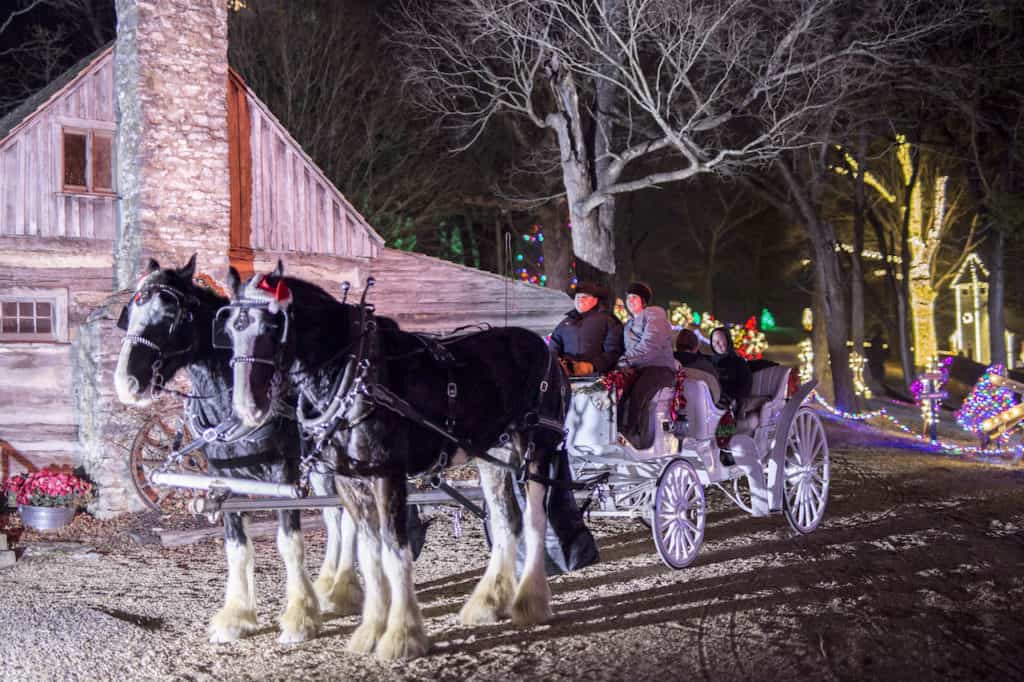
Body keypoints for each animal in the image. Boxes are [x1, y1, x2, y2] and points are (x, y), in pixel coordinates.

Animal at [111, 254, 360, 643]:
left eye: (170, 314)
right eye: (130, 312)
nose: (127, 382)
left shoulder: (285, 477)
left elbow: (290, 543)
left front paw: (300, 617)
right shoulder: (222, 479)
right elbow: (237, 547)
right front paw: (237, 616)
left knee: (347, 517)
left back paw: (343, 589)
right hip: (319, 467)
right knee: (334, 517)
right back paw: (328, 586)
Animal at [223, 261, 569, 659]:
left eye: (272, 325)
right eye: (230, 328)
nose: (247, 407)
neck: (353, 373)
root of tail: (545, 349)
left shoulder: (387, 475)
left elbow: (394, 550)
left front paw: (402, 635)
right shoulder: (350, 481)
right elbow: (370, 555)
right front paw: (372, 629)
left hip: (536, 450)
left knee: (534, 520)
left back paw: (530, 602)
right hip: (493, 455)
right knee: (505, 521)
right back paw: (487, 601)